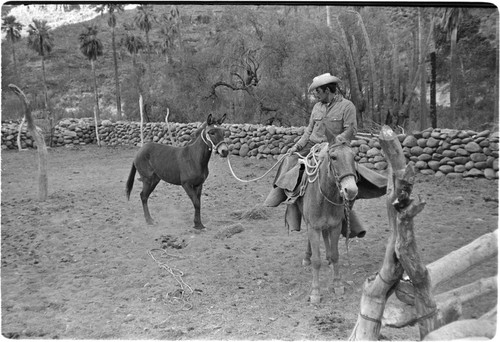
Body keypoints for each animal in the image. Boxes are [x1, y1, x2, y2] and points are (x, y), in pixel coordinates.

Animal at [294, 140, 358, 304]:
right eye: (334, 157)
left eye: (354, 156)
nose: (351, 190)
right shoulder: (313, 227)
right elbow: (316, 261)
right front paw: (315, 292)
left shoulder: (336, 225)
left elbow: (336, 255)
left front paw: (337, 285)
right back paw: (307, 257)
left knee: (325, 235)